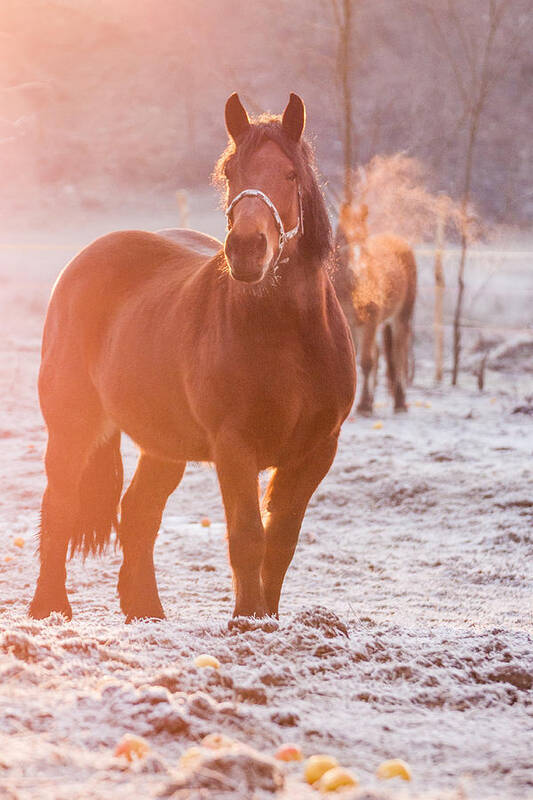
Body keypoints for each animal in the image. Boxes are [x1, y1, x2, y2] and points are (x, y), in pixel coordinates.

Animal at [28, 94, 354, 624]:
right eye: (231, 172)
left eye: (290, 174)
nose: (246, 251)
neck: (289, 339)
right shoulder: (234, 447)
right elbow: (247, 537)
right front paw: (248, 621)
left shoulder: (316, 450)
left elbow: (281, 542)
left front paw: (269, 619)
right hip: (73, 425)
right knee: (59, 503)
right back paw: (49, 609)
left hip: (163, 443)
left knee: (138, 511)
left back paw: (146, 612)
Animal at [332, 202, 416, 412]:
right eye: (341, 236)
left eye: (363, 236)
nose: (356, 271)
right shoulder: (350, 323)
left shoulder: (370, 320)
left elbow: (367, 361)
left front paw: (363, 406)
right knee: (380, 354)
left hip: (401, 317)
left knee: (398, 354)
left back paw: (400, 400)